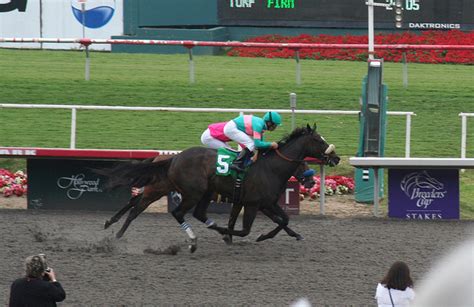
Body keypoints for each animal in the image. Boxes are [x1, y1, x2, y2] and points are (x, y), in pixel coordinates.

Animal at [100, 125, 338, 253]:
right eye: (319, 140)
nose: (335, 157)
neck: (270, 167)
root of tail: (173, 158)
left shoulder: (262, 203)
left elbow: (283, 220)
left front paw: (287, 235)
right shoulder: (253, 204)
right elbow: (245, 229)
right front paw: (229, 235)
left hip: (191, 192)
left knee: (144, 204)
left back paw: (114, 229)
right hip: (186, 191)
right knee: (160, 210)